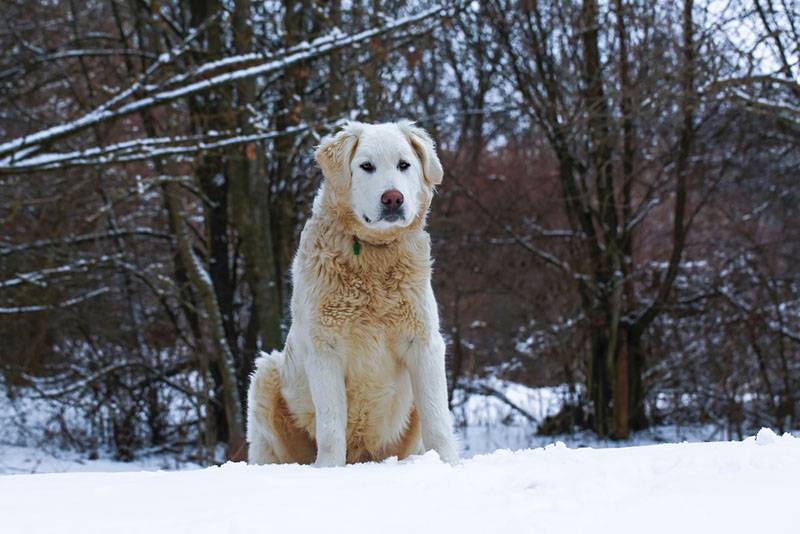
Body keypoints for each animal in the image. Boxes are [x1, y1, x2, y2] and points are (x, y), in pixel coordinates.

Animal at [244, 119, 460, 466]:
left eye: (404, 165)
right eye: (366, 166)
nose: (393, 198)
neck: (372, 256)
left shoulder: (424, 342)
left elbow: (438, 420)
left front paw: (449, 465)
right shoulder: (324, 350)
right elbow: (331, 429)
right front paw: (329, 470)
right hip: (265, 373)